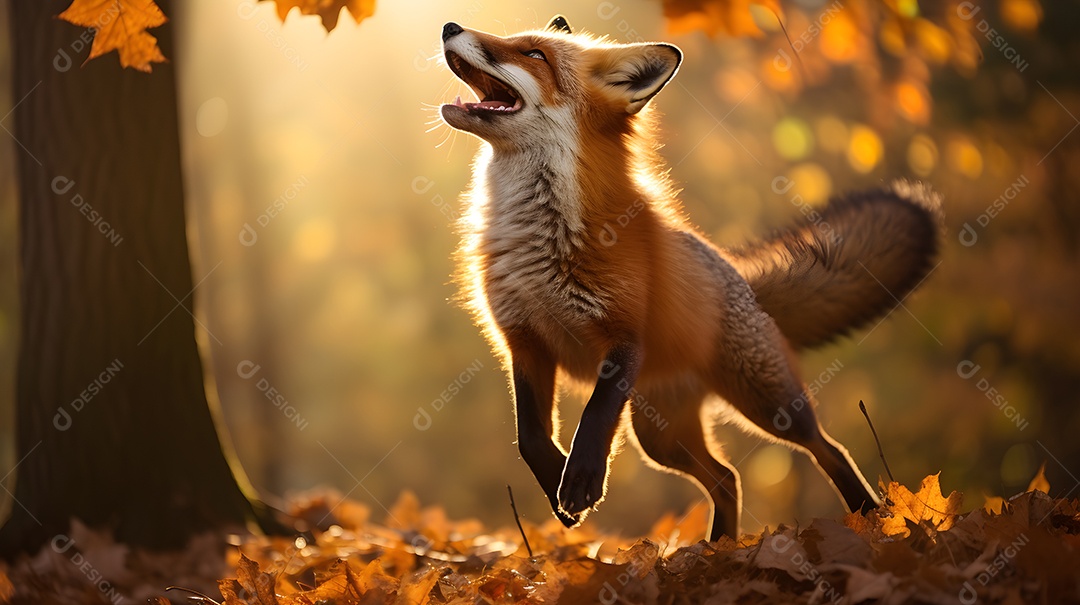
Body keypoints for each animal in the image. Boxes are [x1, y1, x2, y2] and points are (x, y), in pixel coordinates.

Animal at [438, 15, 941, 541]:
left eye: (535, 54)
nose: (449, 25)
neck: (537, 238)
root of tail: (740, 281)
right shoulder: (524, 340)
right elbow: (530, 437)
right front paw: (560, 484)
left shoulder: (625, 336)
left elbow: (593, 417)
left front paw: (578, 479)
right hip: (660, 436)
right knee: (727, 478)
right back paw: (717, 548)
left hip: (766, 404)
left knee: (828, 449)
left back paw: (868, 518)